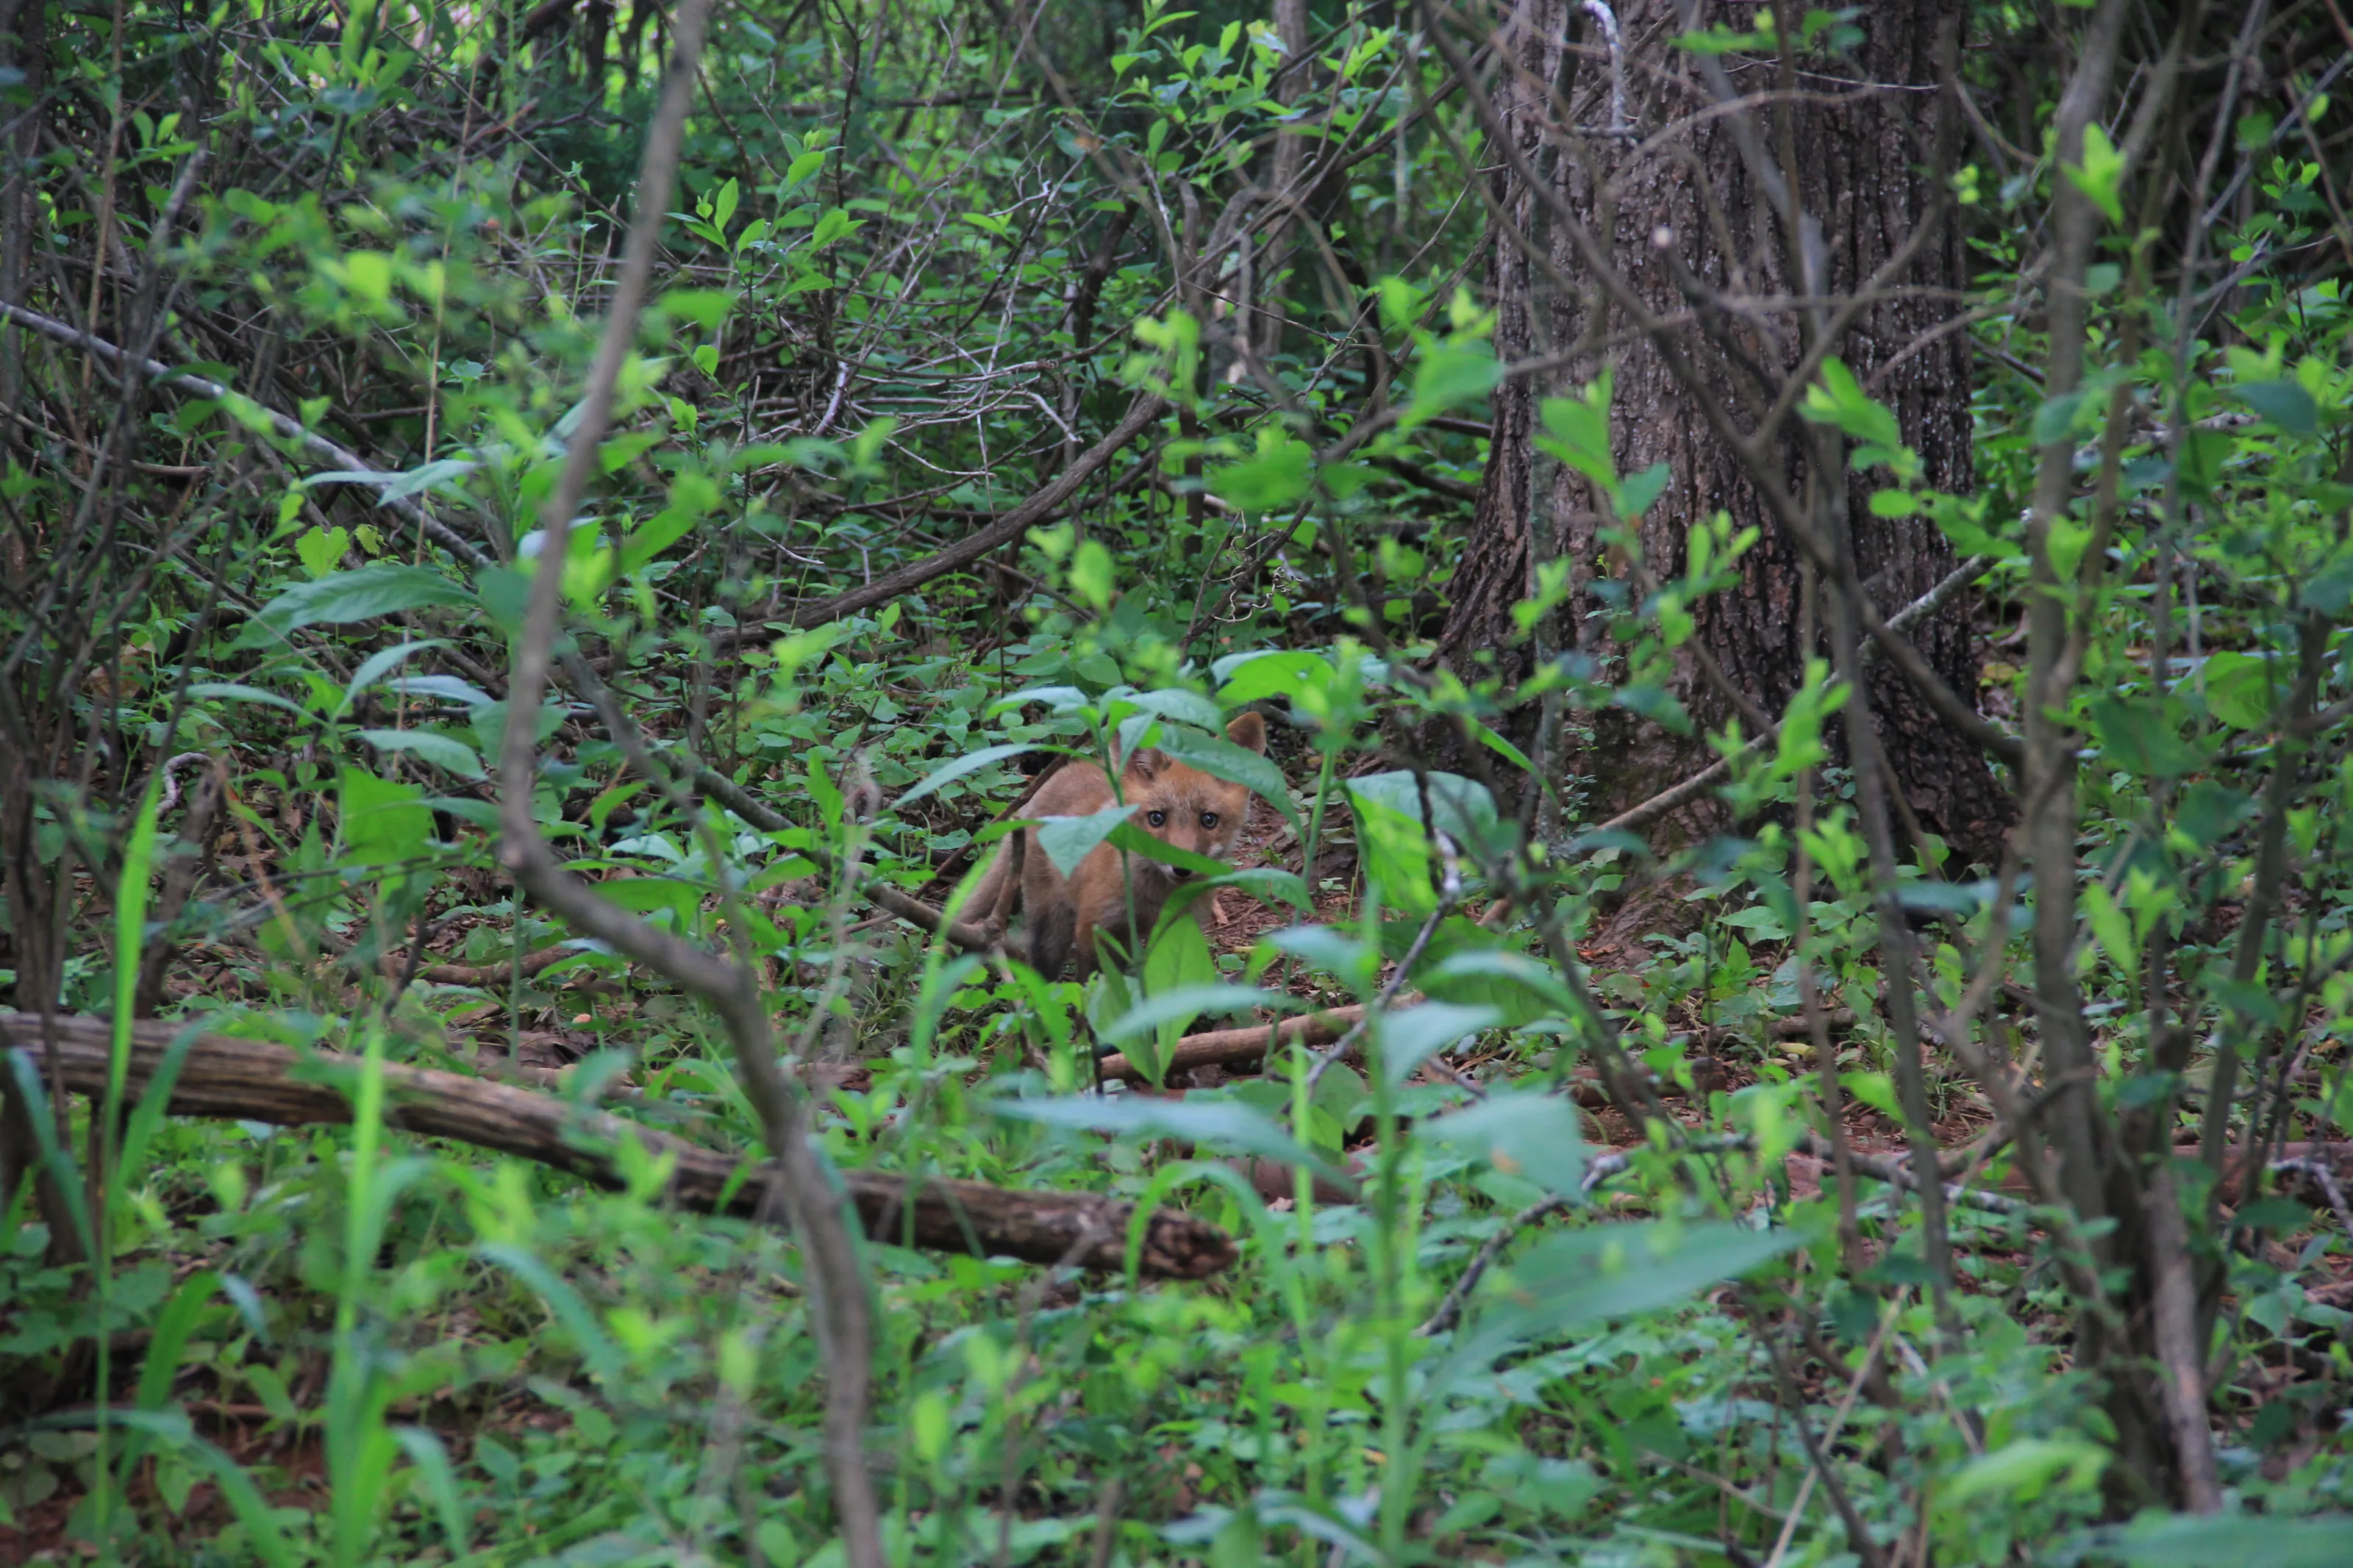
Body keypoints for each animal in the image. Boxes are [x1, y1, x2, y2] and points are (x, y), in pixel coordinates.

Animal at [970, 712, 1267, 979]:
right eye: (1156, 818)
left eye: (1209, 820)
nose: (1181, 868)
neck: (1154, 899)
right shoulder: (1096, 926)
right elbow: (1096, 990)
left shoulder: (1179, 928)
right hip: (1051, 926)